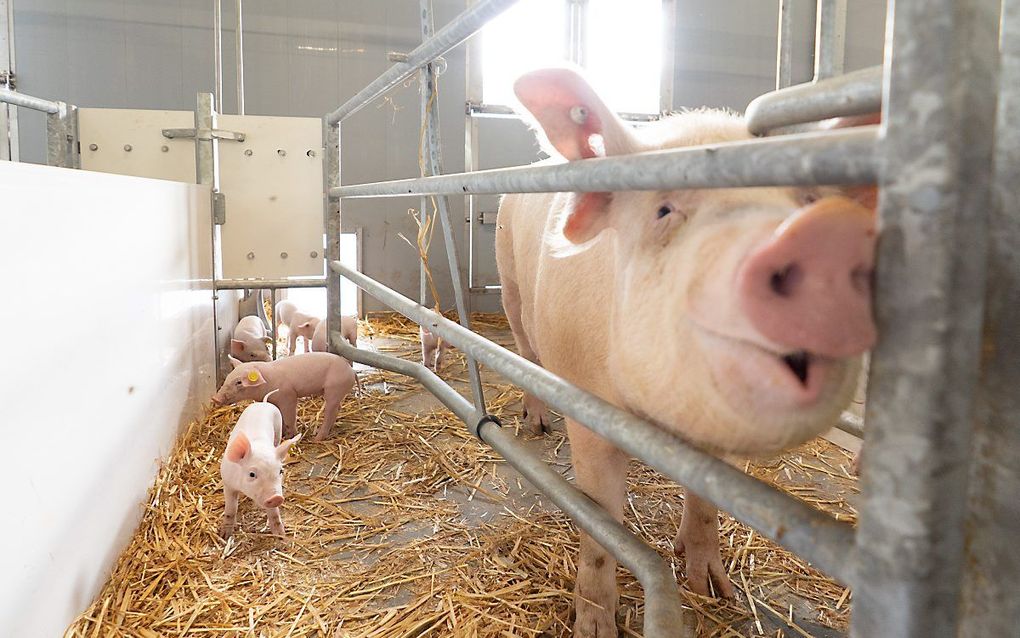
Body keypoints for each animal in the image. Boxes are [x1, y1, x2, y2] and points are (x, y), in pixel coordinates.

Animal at [213, 351, 357, 440]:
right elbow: (280, 417)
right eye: (228, 377)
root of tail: (351, 370)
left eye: (238, 382)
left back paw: (316, 439)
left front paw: (291, 437)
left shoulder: (288, 396)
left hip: (334, 388)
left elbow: (289, 418)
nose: (215, 398)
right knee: (337, 408)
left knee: (330, 411)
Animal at [219, 389, 297, 534]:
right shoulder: (228, 483)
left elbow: (274, 515)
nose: (276, 497)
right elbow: (231, 509)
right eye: (252, 474)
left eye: (281, 471)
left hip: (278, 427)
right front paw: (225, 535)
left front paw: (281, 535)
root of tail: (264, 403)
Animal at [495, 67, 877, 632]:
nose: (816, 240)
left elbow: (704, 504)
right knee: (524, 350)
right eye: (664, 210)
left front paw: (713, 591)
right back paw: (536, 425)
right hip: (510, 286)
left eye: (811, 200)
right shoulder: (587, 407)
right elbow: (600, 522)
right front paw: (595, 627)